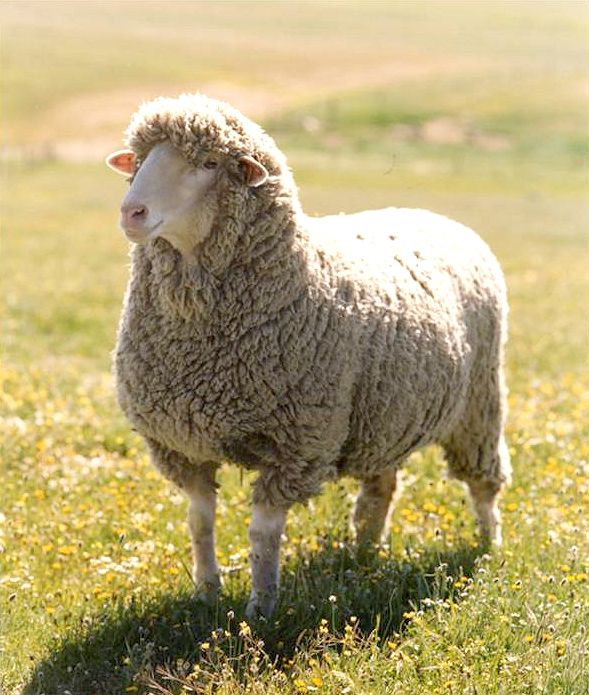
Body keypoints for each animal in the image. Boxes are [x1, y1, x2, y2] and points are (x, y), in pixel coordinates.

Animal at [106, 93, 511, 618]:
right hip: (386, 413)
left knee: (483, 481)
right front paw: (206, 593)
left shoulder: (296, 443)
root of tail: (433, 215)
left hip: (479, 402)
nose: (132, 212)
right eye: (138, 159)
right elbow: (199, 521)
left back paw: (488, 543)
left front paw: (260, 608)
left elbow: (262, 534)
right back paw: (365, 551)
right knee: (381, 488)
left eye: (209, 163)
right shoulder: (183, 444)